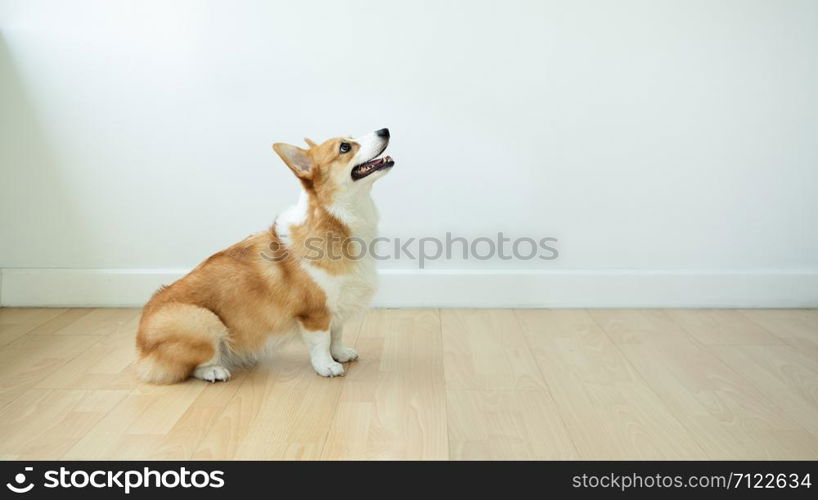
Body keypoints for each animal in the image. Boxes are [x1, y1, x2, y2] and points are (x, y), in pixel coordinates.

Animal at [135, 128, 394, 382]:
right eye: (345, 147)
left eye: (350, 138)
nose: (385, 130)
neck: (336, 219)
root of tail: (140, 346)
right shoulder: (315, 313)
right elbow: (321, 342)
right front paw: (327, 366)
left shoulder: (338, 305)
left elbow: (337, 335)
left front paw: (340, 354)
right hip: (203, 321)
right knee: (190, 365)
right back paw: (214, 371)